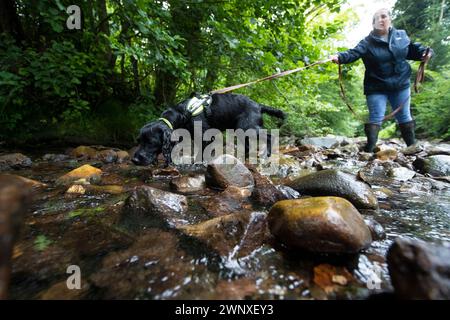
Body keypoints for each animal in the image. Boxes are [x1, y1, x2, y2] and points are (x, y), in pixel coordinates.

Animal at [132, 92, 284, 166]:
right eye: (139, 141)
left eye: (151, 142)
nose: (135, 160)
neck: (182, 114)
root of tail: (258, 105)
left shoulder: (205, 136)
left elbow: (201, 152)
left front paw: (198, 163)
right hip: (241, 129)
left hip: (248, 127)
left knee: (270, 136)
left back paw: (266, 154)